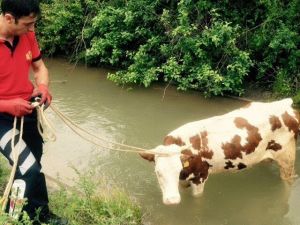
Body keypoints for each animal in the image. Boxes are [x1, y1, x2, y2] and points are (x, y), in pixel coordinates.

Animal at [141, 98, 300, 204]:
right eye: (158, 172)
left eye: (178, 169)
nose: (172, 200)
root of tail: (286, 105)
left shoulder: (200, 176)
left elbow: (197, 199)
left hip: (287, 157)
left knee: (288, 182)